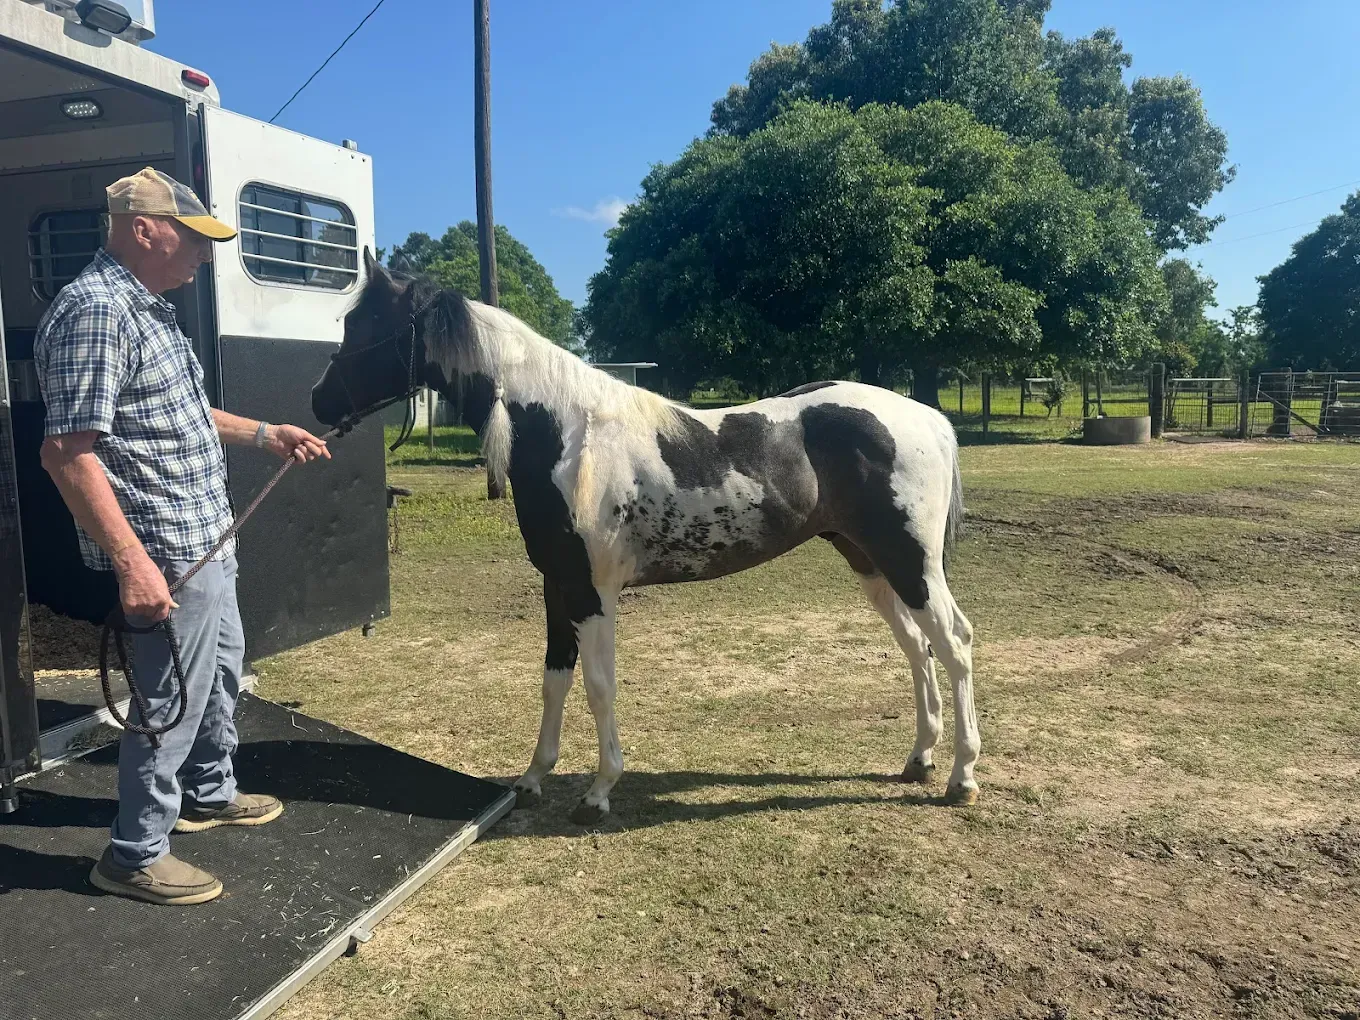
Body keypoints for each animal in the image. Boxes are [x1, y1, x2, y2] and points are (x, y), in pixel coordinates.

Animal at [311, 249, 980, 824]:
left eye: (365, 325)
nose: (318, 401)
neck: (565, 435)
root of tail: (927, 418)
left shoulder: (594, 592)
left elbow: (599, 685)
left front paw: (599, 791)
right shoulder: (557, 586)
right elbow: (555, 680)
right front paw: (533, 778)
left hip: (910, 563)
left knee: (953, 642)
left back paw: (962, 777)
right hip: (871, 563)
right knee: (917, 648)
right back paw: (919, 760)